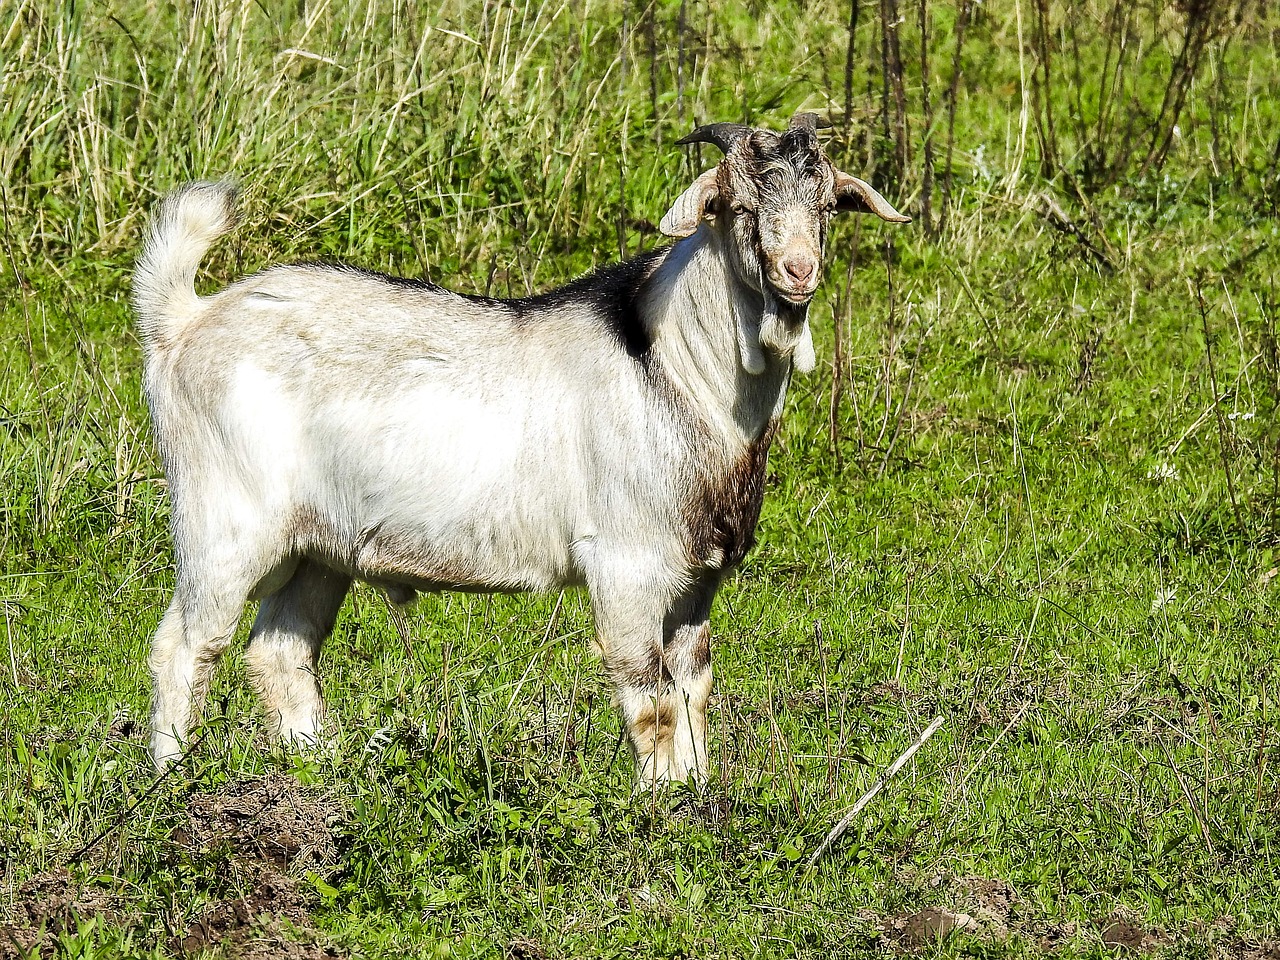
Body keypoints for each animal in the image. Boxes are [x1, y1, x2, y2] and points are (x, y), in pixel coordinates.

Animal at [135, 114, 906, 788]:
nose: (798, 271)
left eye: (827, 207)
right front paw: (656, 805)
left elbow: (693, 688)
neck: (677, 366)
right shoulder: (625, 565)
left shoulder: (697, 579)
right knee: (185, 645)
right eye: (739, 206)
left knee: (281, 649)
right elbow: (649, 696)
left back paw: (316, 772)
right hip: (225, 522)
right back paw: (174, 781)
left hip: (319, 548)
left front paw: (693, 794)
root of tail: (188, 322)